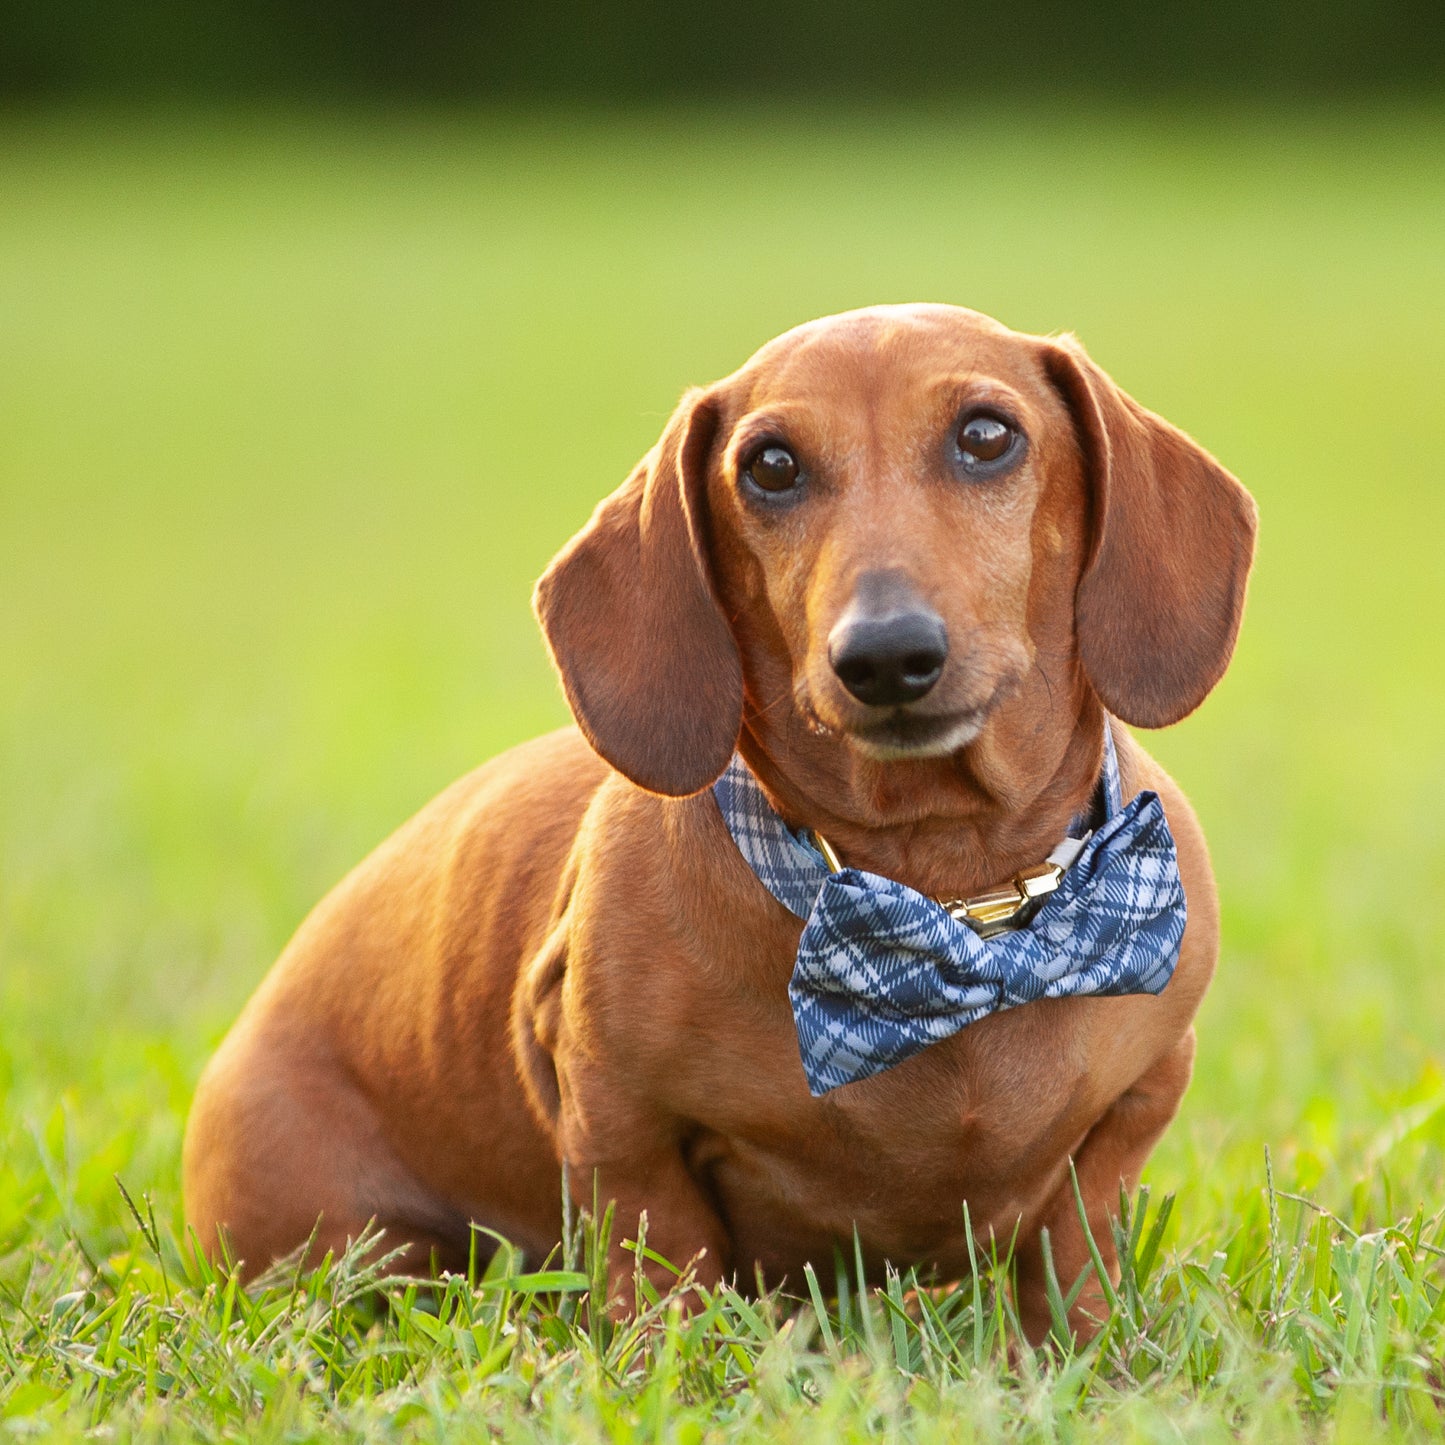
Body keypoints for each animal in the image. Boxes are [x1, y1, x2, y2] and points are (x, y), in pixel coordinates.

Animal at [189, 304, 1254, 1340]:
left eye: (986, 435)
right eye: (769, 465)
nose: (884, 655)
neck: (946, 898)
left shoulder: (1139, 1100)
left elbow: (1074, 1249)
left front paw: (1082, 1359)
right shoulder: (621, 1122)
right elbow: (663, 1267)